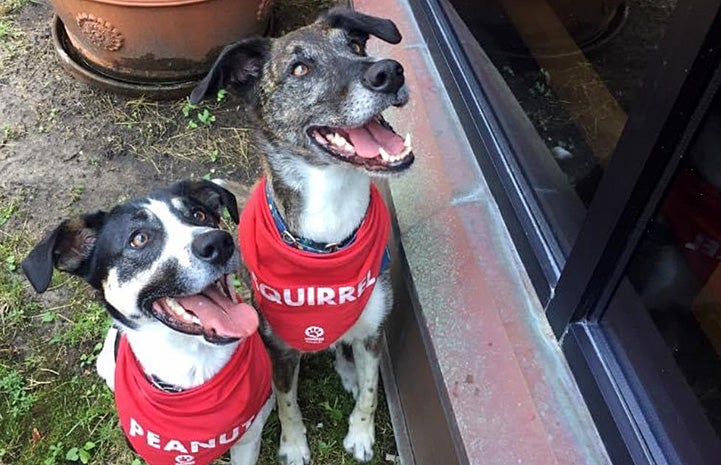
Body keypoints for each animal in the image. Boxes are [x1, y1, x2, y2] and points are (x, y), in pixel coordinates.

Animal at [191, 7, 414, 464]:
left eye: (357, 46)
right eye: (299, 69)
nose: (389, 71)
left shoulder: (373, 333)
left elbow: (371, 393)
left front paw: (360, 435)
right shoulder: (279, 347)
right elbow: (287, 401)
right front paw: (293, 445)